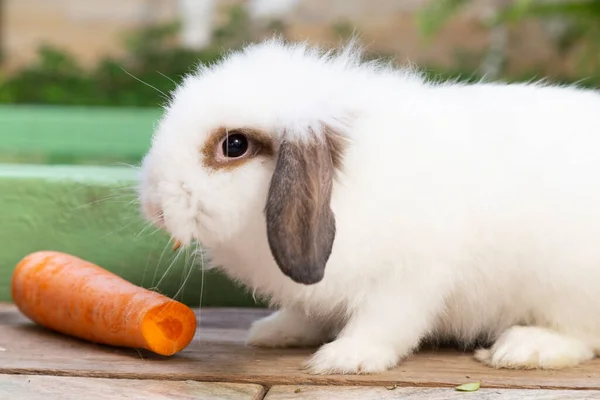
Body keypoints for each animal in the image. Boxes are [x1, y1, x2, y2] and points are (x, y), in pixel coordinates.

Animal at [138, 37, 600, 376]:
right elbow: (308, 312)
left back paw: (524, 348)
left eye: (234, 145)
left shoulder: (410, 279)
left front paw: (345, 358)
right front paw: (275, 331)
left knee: (580, 336)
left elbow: (385, 322)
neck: (345, 186)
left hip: (568, 287)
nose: (154, 204)